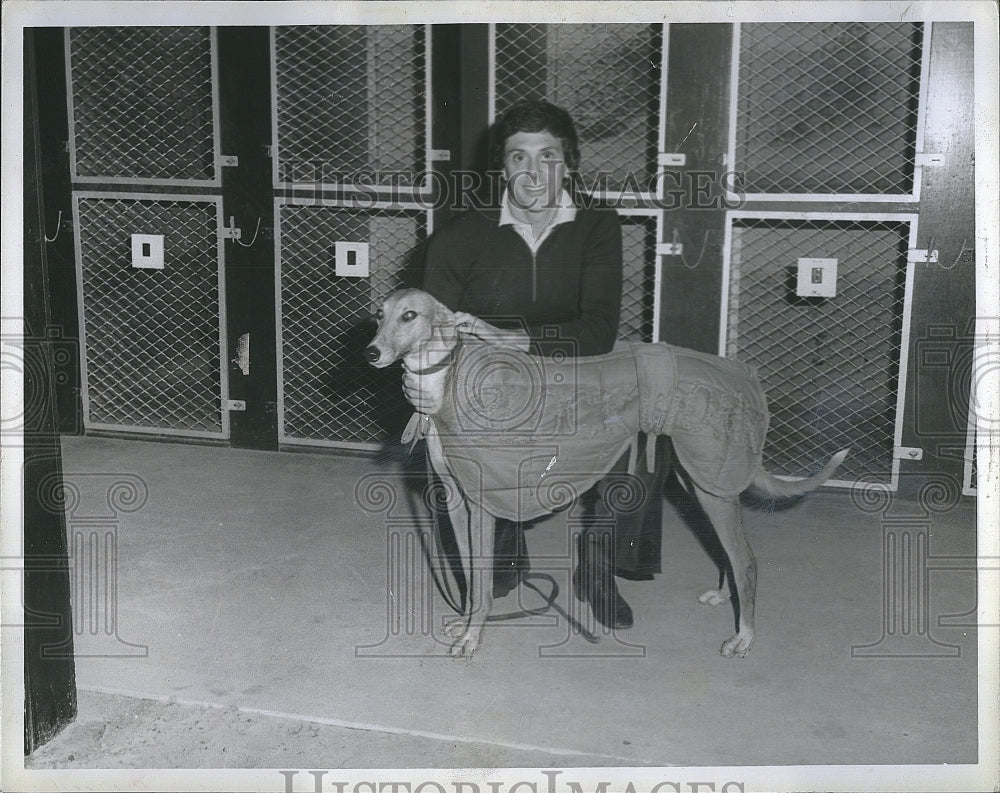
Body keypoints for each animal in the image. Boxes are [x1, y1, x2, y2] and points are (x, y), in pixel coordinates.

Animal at [364, 288, 848, 660]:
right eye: (380, 314)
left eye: (410, 315)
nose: (371, 352)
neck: (447, 381)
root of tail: (739, 372)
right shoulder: (458, 501)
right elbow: (468, 576)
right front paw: (465, 624)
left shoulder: (483, 501)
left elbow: (481, 582)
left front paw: (472, 638)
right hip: (699, 482)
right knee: (729, 553)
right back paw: (724, 598)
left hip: (713, 484)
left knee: (746, 561)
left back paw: (744, 637)